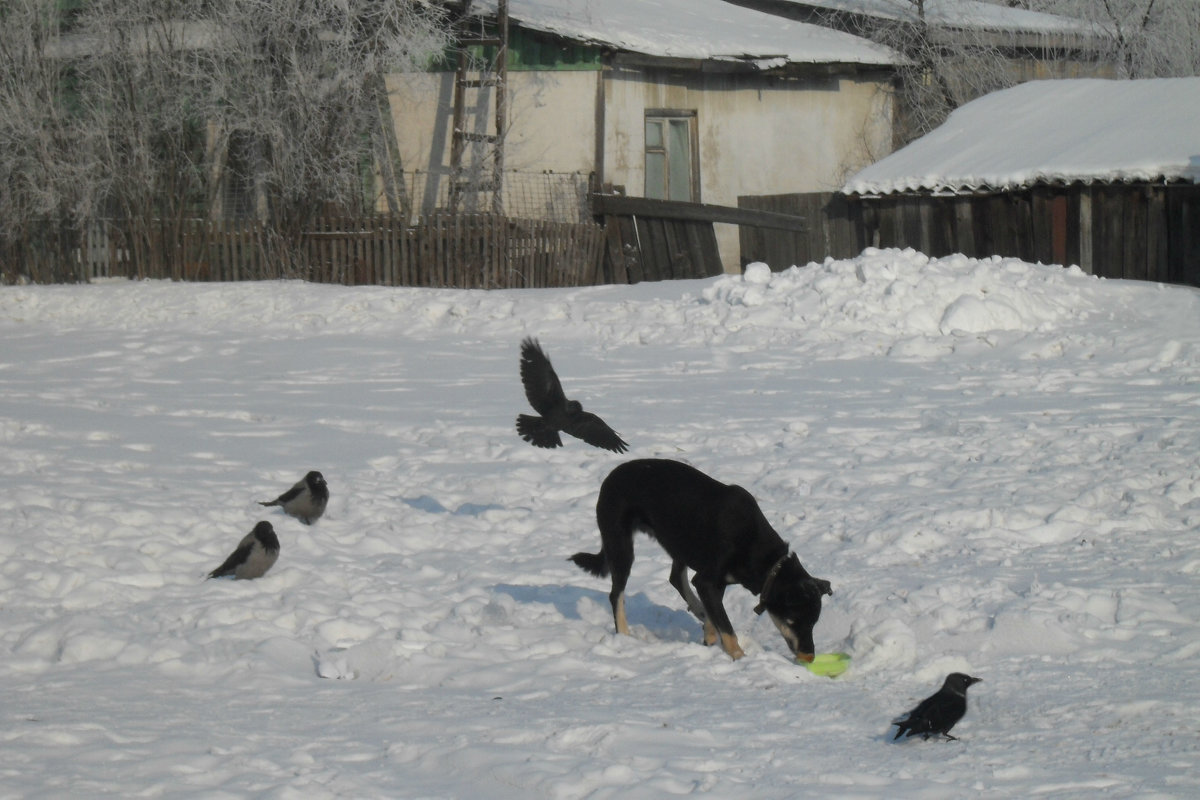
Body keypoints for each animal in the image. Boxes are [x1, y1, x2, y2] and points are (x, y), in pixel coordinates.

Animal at [571, 460, 835, 662]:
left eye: (814, 622)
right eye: (795, 620)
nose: (810, 656)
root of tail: (610, 477)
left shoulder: (716, 583)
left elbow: (714, 615)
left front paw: (709, 636)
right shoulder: (708, 580)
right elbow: (726, 626)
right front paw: (739, 656)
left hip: (679, 543)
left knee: (675, 578)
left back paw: (697, 609)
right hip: (621, 544)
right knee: (617, 594)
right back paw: (624, 635)